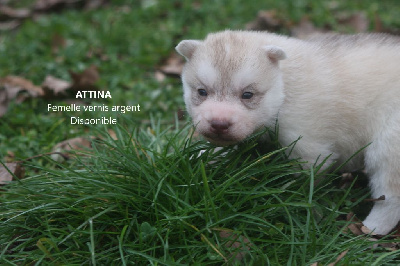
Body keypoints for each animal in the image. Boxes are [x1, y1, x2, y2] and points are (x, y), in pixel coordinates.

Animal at [177, 30, 400, 235]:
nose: (219, 123)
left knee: (390, 194)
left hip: (388, 145)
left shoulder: (307, 144)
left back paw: (372, 227)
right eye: (202, 92)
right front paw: (199, 158)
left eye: (247, 94)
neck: (284, 85)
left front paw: (285, 195)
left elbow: (301, 176)